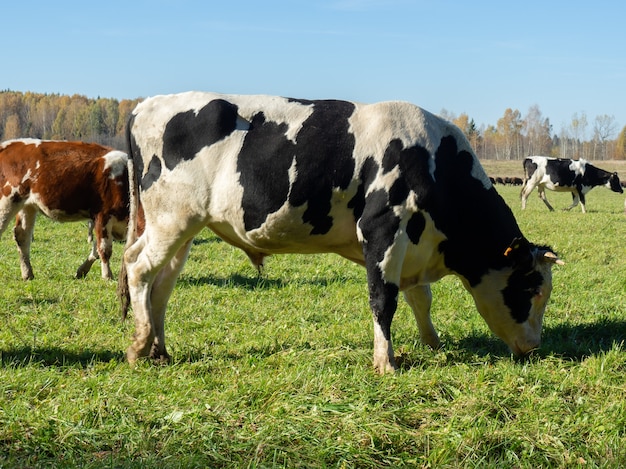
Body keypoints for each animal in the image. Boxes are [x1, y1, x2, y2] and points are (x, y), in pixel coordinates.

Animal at [0, 138, 129, 278]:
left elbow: (96, 248)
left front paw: (82, 270)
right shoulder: (103, 215)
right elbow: (104, 249)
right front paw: (107, 275)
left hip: (27, 205)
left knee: (22, 235)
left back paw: (27, 273)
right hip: (8, 201)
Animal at [117, 92, 560, 372]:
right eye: (533, 290)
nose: (534, 347)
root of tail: (147, 104)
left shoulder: (415, 243)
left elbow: (421, 299)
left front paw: (433, 344)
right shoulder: (382, 229)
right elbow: (384, 300)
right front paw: (386, 362)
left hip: (182, 229)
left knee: (161, 284)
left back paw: (160, 349)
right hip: (171, 219)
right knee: (138, 268)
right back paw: (139, 347)